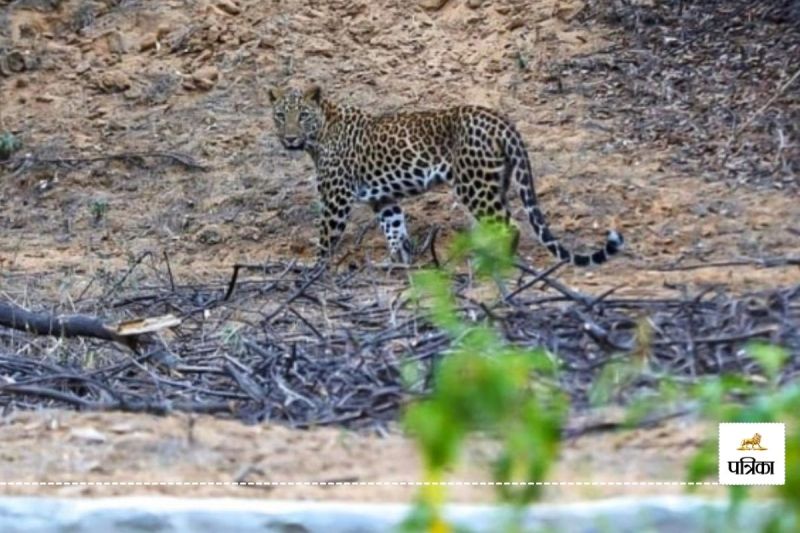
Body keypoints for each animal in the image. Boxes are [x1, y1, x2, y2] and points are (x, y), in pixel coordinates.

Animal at [268, 85, 624, 267]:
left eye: (302, 115)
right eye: (280, 115)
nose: (289, 138)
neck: (319, 135)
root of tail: (502, 121)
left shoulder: (336, 197)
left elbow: (326, 237)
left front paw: (313, 270)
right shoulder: (384, 199)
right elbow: (394, 228)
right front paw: (402, 262)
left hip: (473, 185)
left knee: (509, 225)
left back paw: (496, 263)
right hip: (496, 181)